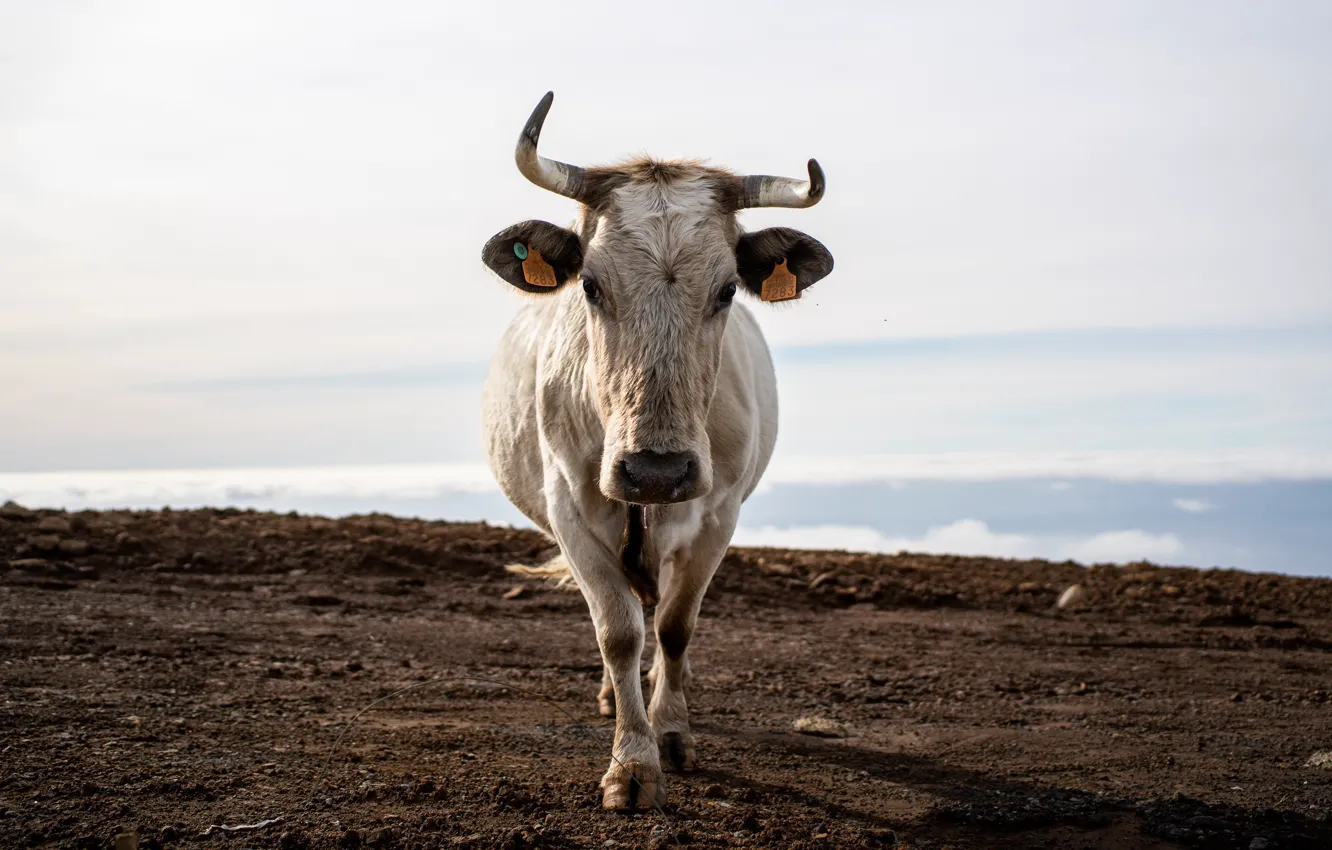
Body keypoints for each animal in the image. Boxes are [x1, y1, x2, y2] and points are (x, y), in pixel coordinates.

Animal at [480, 92, 834, 811]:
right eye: (589, 285)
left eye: (727, 289)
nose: (655, 471)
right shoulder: (570, 510)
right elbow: (618, 630)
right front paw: (632, 762)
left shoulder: (717, 514)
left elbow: (675, 625)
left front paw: (671, 734)